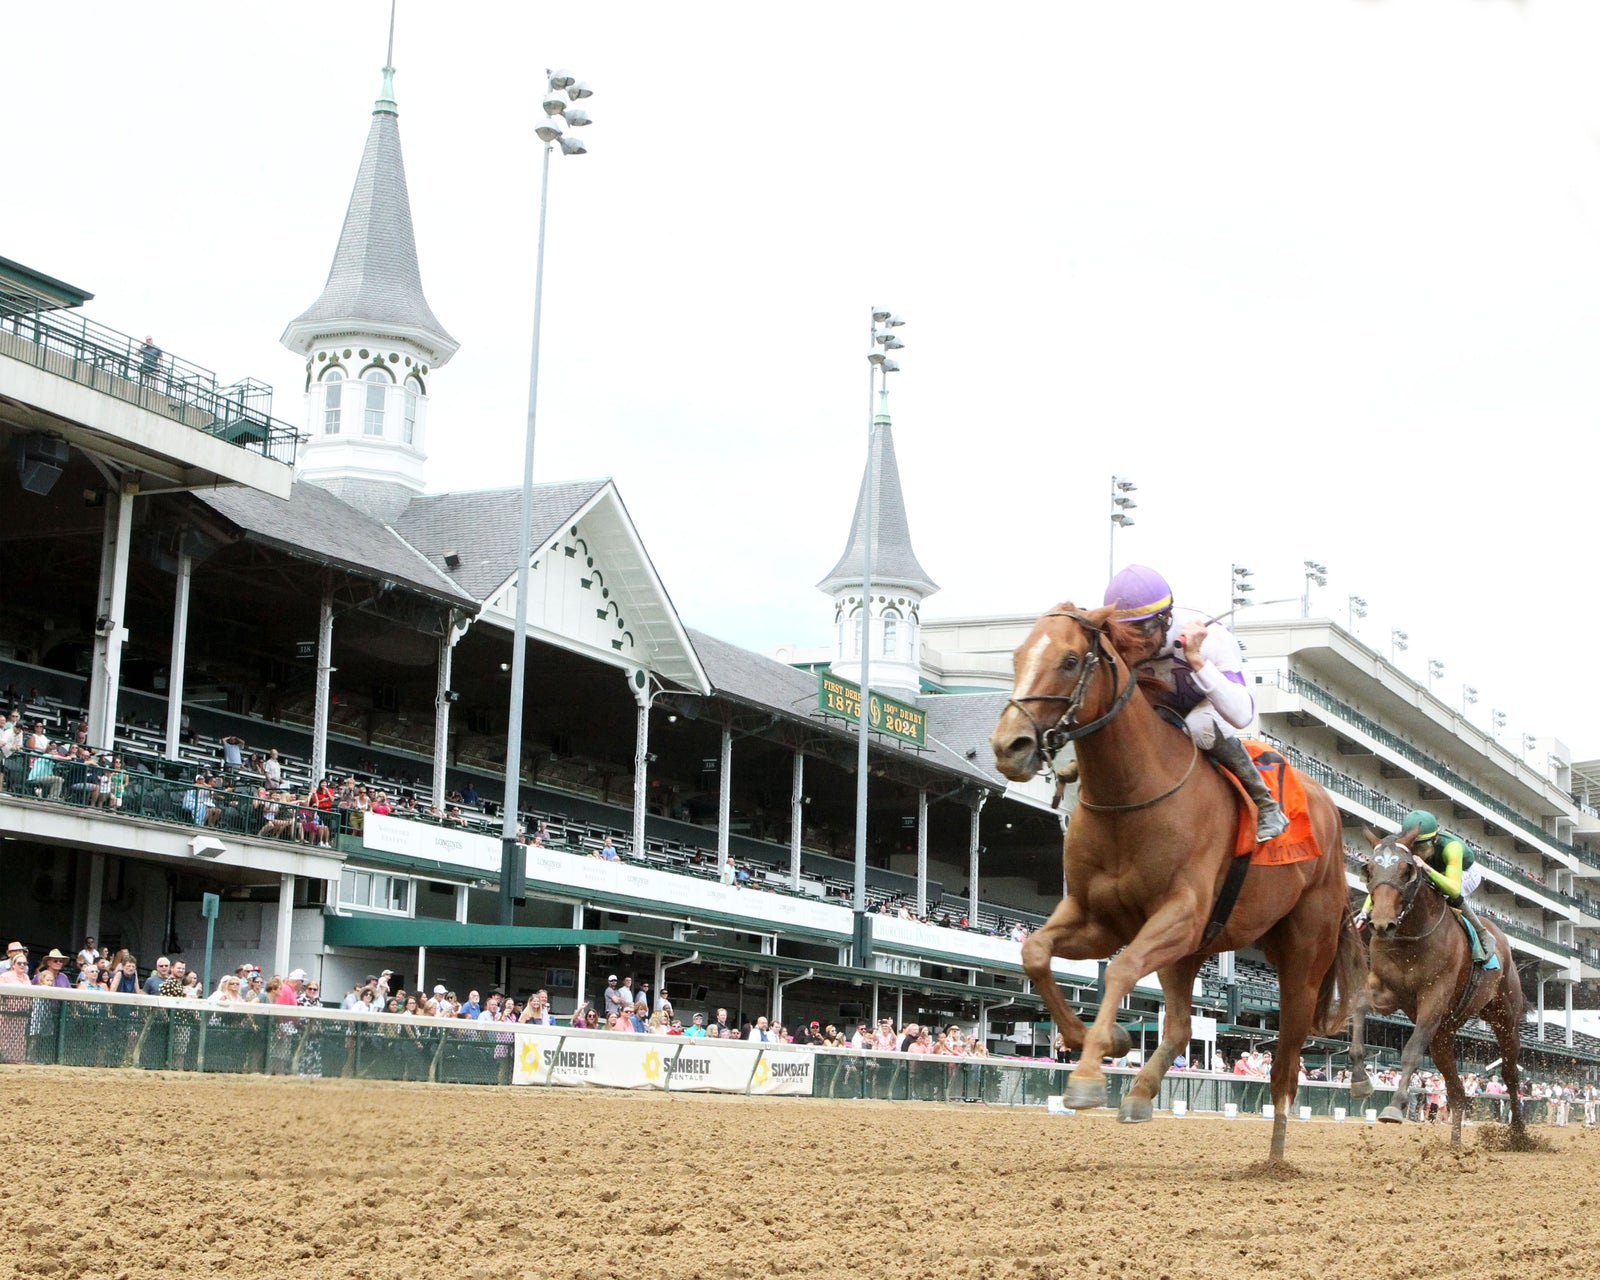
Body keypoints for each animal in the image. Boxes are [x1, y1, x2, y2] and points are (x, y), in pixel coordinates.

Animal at [985, 604, 1363, 1164]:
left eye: (1070, 660)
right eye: (1015, 656)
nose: (1010, 745)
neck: (1132, 794)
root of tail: (1331, 816)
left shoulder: (1179, 915)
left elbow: (1120, 971)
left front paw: (1088, 1075)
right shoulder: (1098, 918)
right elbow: (1034, 952)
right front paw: (1105, 1041)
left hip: (1302, 957)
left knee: (1286, 1061)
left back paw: (1276, 1158)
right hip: (1190, 954)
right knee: (1184, 1026)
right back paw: (1141, 1094)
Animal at [1350, 825, 1523, 1145]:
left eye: (1406, 870)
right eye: (1368, 869)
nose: (1380, 924)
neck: (1410, 936)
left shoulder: (1433, 998)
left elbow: (1411, 1051)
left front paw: (1394, 1106)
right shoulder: (1384, 991)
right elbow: (1358, 1009)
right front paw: (1360, 1081)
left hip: (1504, 1017)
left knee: (1509, 1074)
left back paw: (1519, 1134)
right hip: (1444, 1034)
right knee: (1456, 1090)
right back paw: (1455, 1143)